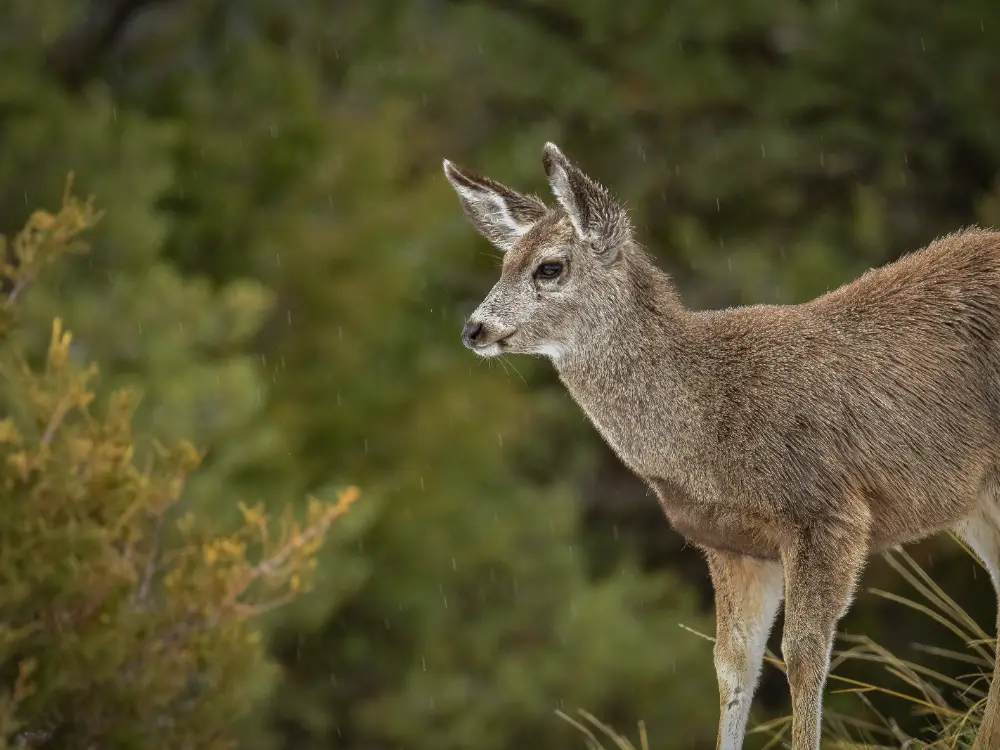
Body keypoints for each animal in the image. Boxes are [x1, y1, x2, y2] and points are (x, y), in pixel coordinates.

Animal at [442, 142, 1000, 750]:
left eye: (549, 266)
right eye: (503, 264)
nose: (473, 329)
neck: (708, 424)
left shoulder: (829, 512)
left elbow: (803, 656)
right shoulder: (731, 544)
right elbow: (733, 665)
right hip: (972, 501)